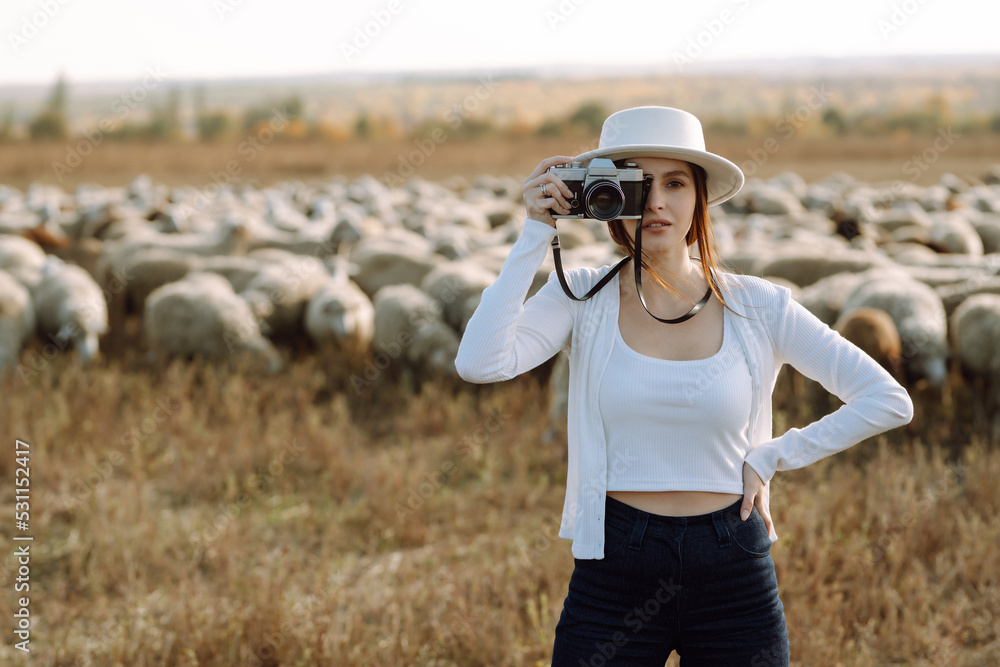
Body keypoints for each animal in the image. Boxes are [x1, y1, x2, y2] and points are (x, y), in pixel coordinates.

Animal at [944, 294, 1000, 440]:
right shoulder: (997, 370)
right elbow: (998, 402)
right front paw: (996, 431)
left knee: (984, 388)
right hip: (967, 363)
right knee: (973, 388)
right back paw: (980, 419)